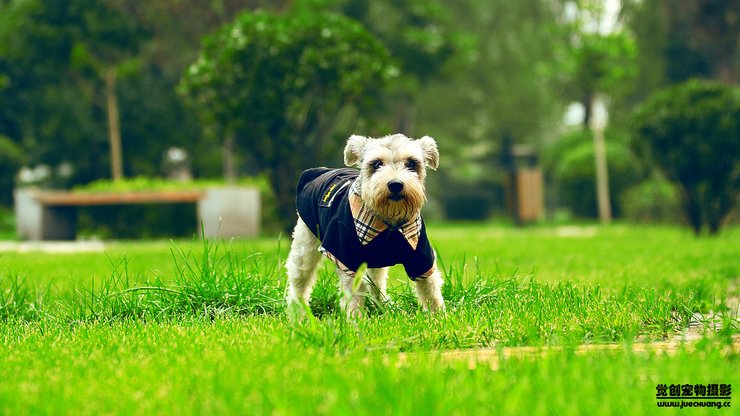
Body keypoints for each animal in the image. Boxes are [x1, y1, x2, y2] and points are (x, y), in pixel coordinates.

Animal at [284, 133, 446, 316]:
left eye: (411, 163)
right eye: (377, 164)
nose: (395, 184)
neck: (389, 223)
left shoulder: (420, 255)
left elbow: (430, 289)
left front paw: (440, 316)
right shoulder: (348, 258)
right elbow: (353, 295)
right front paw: (355, 319)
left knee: (376, 283)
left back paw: (385, 306)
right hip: (305, 246)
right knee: (299, 283)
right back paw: (297, 315)